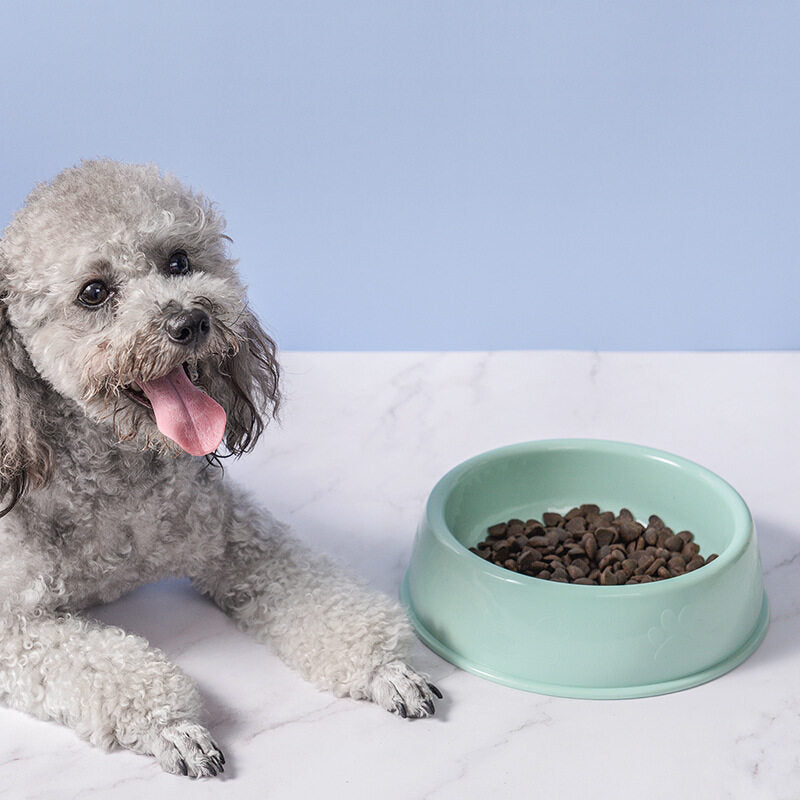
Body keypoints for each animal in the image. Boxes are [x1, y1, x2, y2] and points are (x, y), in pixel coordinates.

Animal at [0, 159, 438, 780]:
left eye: (178, 261)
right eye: (94, 292)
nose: (190, 320)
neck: (117, 481)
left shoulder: (242, 539)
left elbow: (324, 595)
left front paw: (386, 668)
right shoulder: (14, 625)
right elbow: (111, 668)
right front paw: (173, 726)